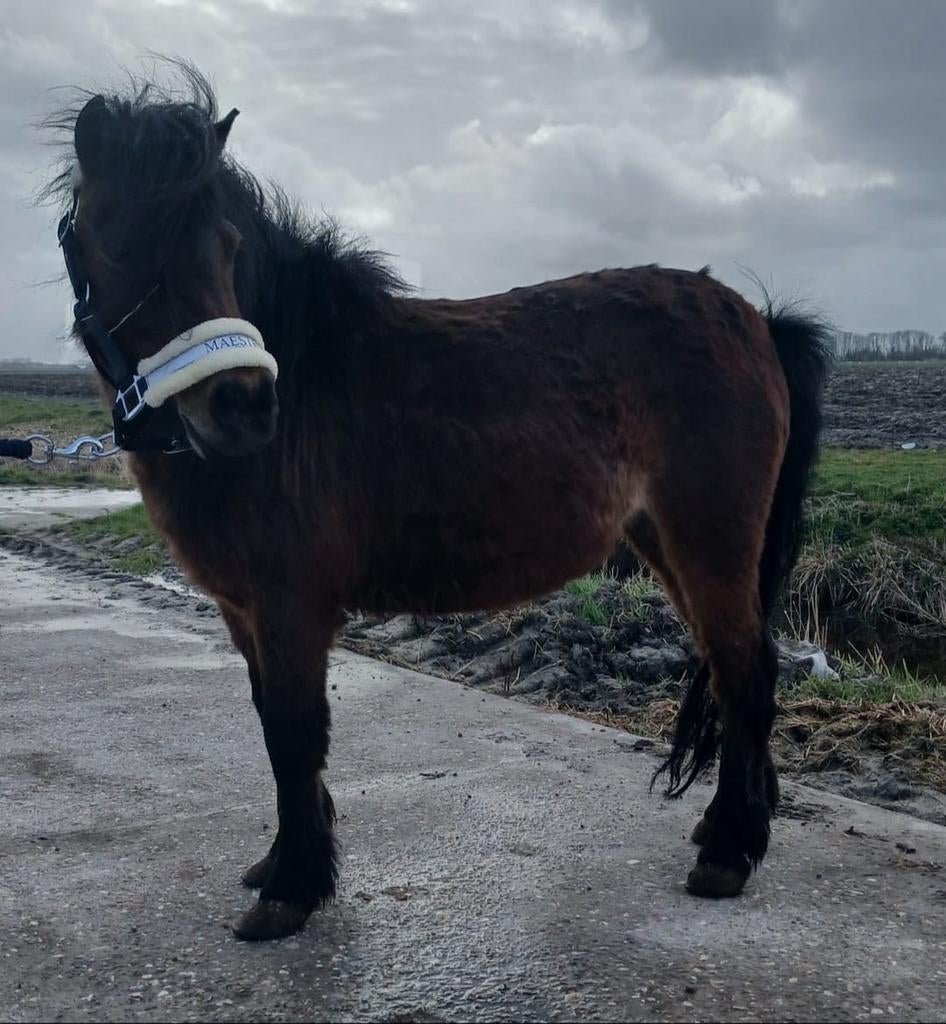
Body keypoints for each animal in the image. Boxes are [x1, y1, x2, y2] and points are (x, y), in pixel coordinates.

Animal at [43, 67, 829, 941]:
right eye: (116, 241)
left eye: (230, 245)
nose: (242, 406)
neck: (307, 380)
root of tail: (756, 321)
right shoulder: (244, 610)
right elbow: (272, 725)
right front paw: (281, 863)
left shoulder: (289, 607)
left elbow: (293, 734)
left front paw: (293, 889)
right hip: (670, 545)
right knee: (734, 672)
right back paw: (733, 827)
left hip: (711, 544)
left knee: (747, 672)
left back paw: (728, 855)